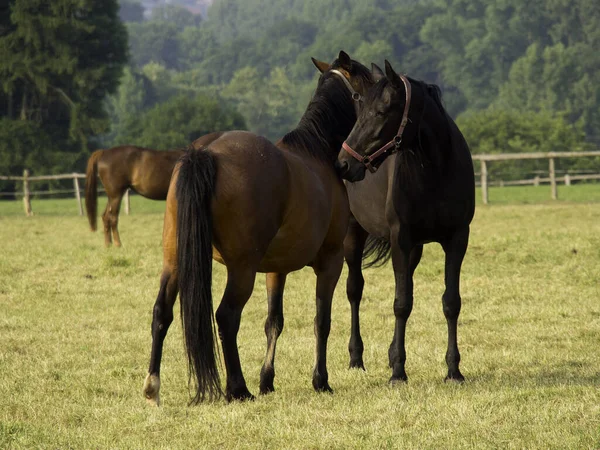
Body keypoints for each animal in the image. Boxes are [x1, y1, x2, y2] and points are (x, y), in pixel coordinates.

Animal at [84, 134, 223, 248]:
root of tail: (104, 152)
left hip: (112, 195)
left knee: (105, 217)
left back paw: (108, 244)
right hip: (116, 194)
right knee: (112, 217)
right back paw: (118, 244)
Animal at [142, 51, 376, 404]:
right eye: (368, 86)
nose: (353, 166)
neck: (317, 153)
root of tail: (206, 152)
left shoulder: (275, 269)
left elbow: (273, 322)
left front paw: (267, 380)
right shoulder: (331, 261)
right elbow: (322, 321)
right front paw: (320, 380)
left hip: (175, 259)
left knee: (161, 312)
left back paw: (153, 386)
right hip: (242, 268)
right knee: (227, 316)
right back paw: (237, 388)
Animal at [336, 59, 476, 384]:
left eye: (381, 112)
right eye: (361, 110)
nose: (344, 163)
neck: (436, 170)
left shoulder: (457, 239)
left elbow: (451, 302)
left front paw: (454, 370)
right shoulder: (400, 237)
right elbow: (401, 304)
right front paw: (399, 372)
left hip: (414, 250)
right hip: (353, 237)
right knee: (354, 290)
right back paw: (356, 359)